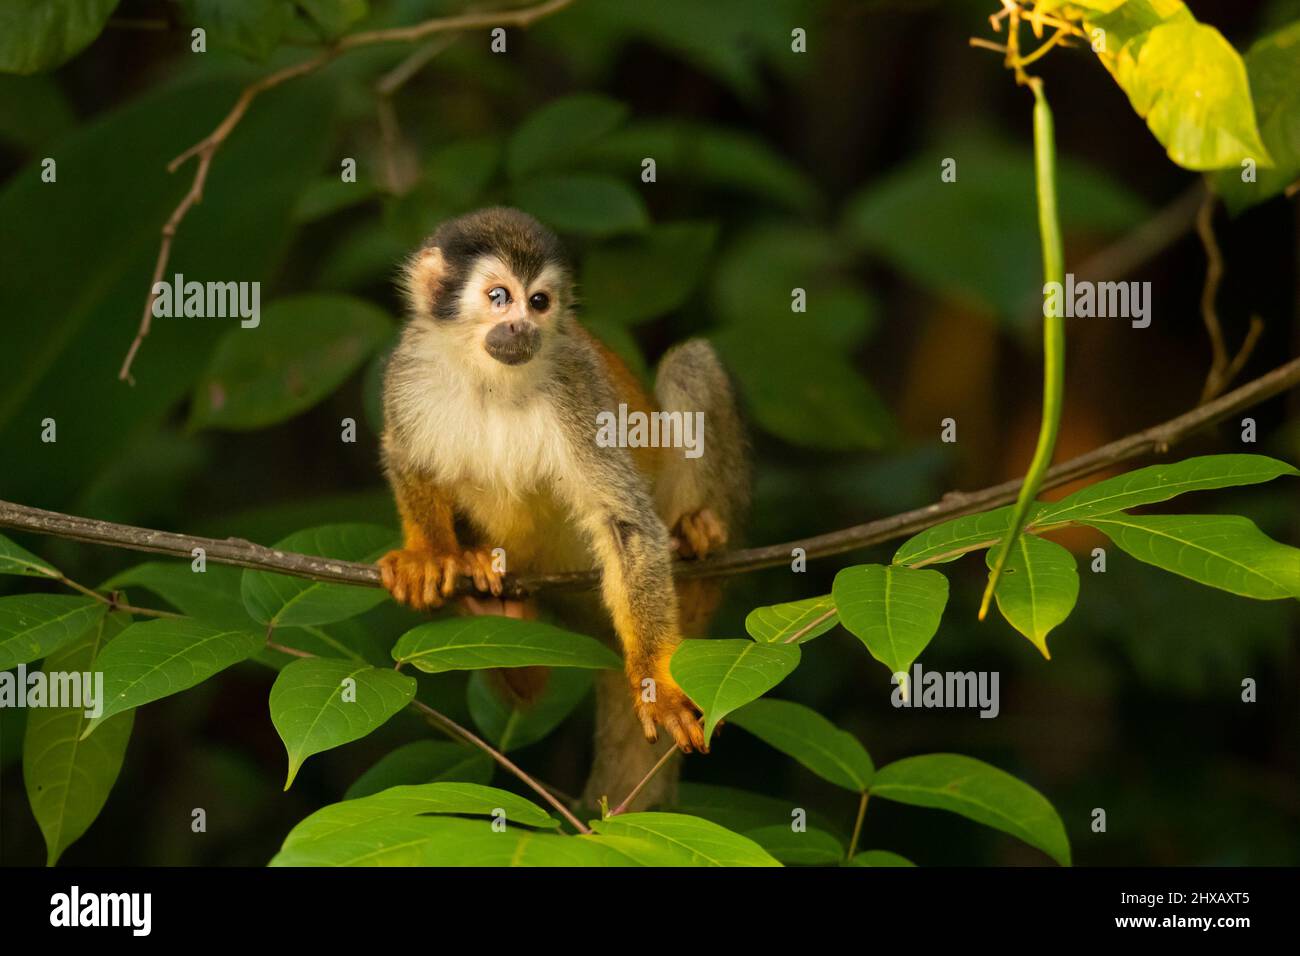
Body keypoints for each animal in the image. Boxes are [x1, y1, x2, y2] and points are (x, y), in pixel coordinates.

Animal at [377, 208, 748, 770]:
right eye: (499, 297)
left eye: (539, 302)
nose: (522, 326)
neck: (488, 374)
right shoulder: (408, 370)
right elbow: (406, 456)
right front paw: (431, 553)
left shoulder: (577, 383)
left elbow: (625, 523)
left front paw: (656, 684)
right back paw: (497, 607)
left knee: (691, 363)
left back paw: (697, 538)